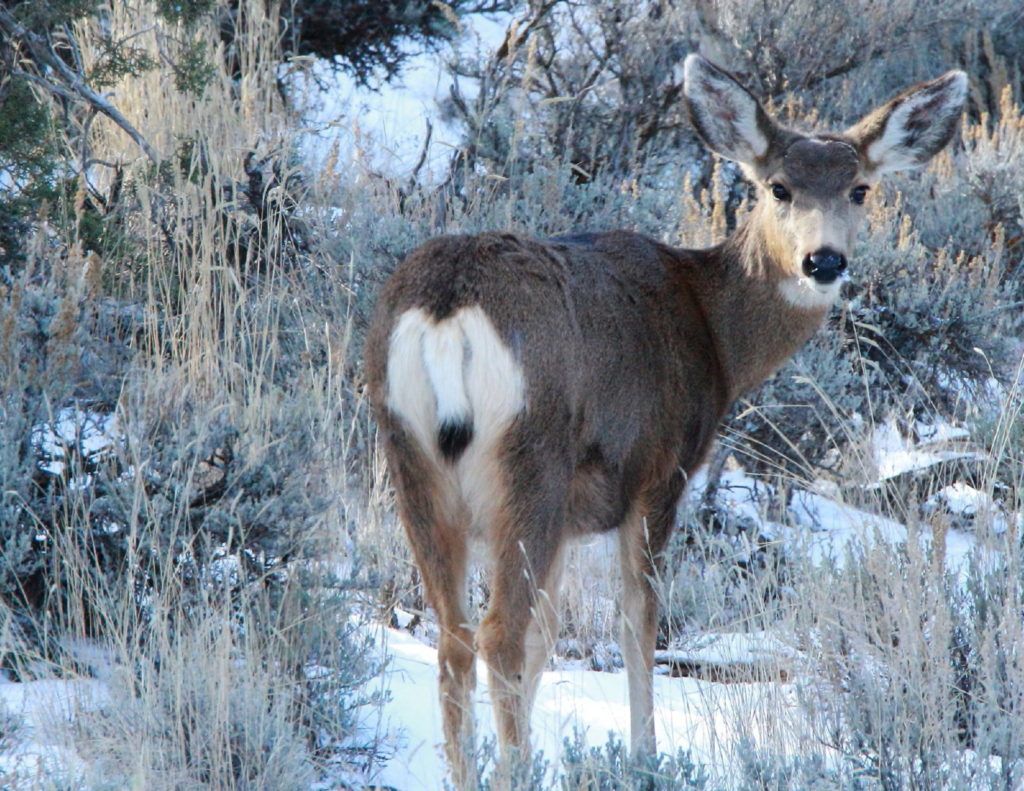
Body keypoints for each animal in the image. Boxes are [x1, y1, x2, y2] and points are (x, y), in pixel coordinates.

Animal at [364, 54, 968, 787]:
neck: (714, 330)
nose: (824, 261)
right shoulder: (660, 472)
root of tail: (447, 305)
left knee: (455, 635)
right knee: (496, 632)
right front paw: (645, 755)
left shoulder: (570, 519)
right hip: (529, 458)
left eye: (859, 189)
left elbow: (548, 635)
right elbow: (636, 625)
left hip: (411, 457)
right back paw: (517, 770)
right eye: (779, 187)